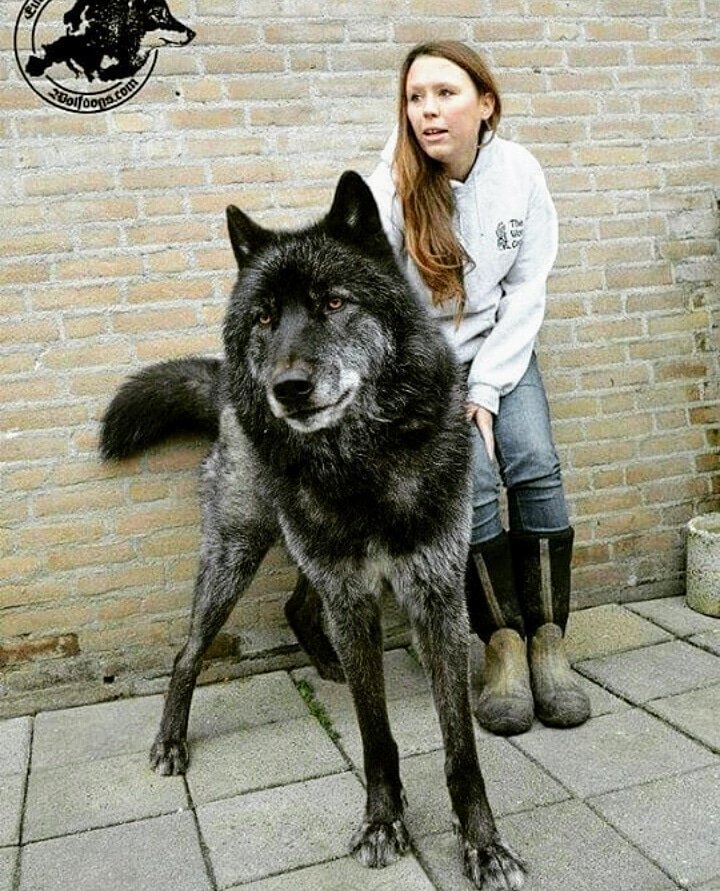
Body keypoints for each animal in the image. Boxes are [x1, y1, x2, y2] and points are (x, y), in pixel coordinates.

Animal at [100, 171, 525, 890]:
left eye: (333, 301)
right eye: (266, 317)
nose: (288, 388)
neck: (361, 466)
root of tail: (226, 387)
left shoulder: (434, 595)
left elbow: (460, 746)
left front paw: (484, 844)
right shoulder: (352, 597)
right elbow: (374, 732)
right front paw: (383, 821)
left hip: (305, 554)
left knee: (299, 606)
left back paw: (325, 663)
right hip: (237, 553)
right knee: (188, 652)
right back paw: (171, 739)